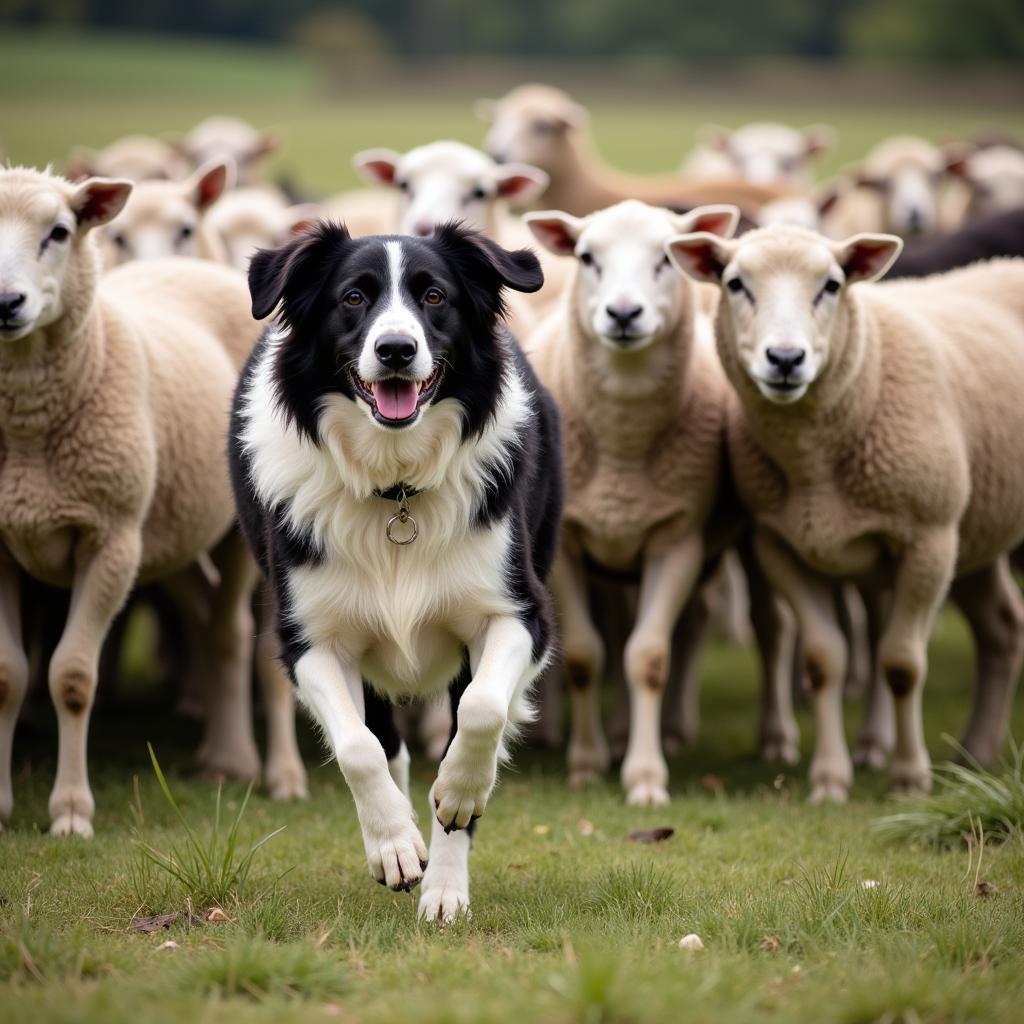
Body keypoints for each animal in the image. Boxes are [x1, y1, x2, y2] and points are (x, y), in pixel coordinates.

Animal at [229, 222, 565, 921]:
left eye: (434, 296)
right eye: (353, 297)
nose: (395, 350)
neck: (396, 486)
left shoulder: (519, 614)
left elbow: (482, 710)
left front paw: (457, 804)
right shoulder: (309, 638)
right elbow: (358, 746)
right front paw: (393, 845)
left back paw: (443, 877)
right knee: (383, 741)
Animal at [528, 201, 798, 806]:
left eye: (665, 260)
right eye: (586, 257)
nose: (624, 313)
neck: (622, 449)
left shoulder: (676, 540)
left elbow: (648, 658)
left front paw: (646, 777)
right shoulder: (571, 544)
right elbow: (585, 656)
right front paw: (586, 763)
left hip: (749, 540)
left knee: (769, 630)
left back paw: (771, 738)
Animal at [663, 224, 1024, 798]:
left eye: (832, 285)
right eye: (735, 283)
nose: (786, 359)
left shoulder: (928, 541)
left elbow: (901, 663)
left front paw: (909, 778)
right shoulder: (782, 544)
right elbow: (823, 660)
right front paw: (830, 779)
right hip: (977, 533)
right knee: (1003, 629)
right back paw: (975, 752)